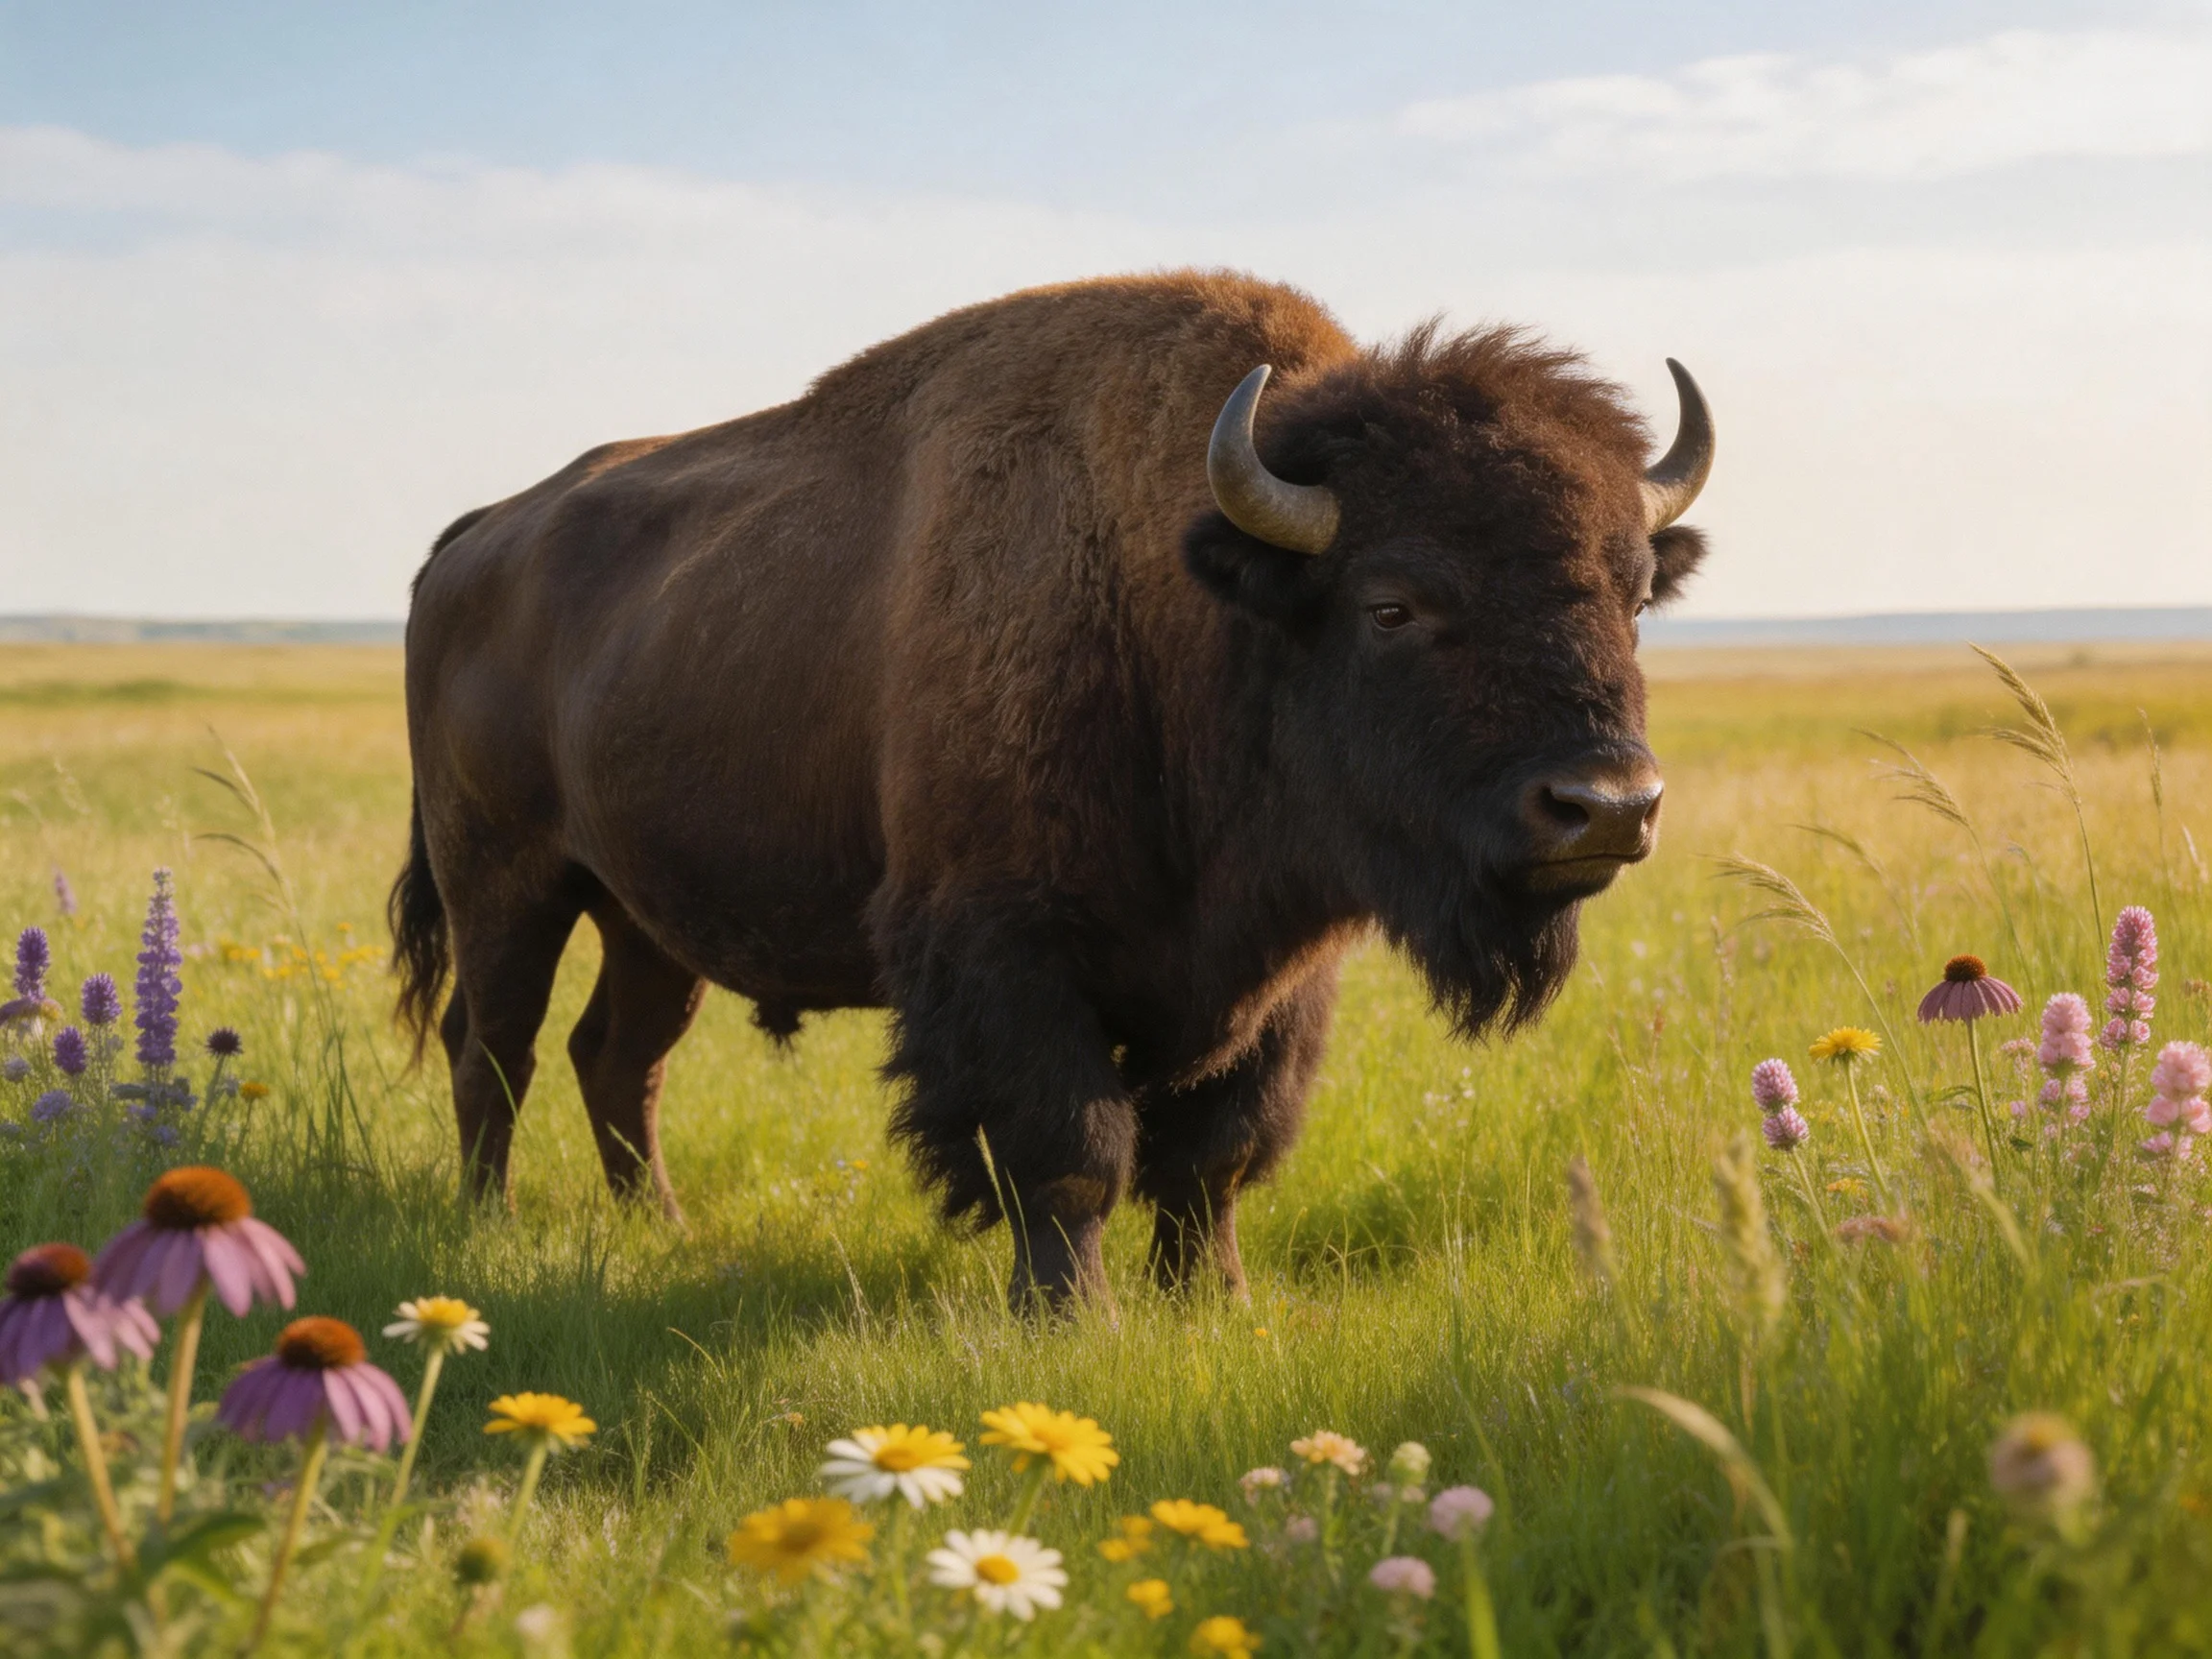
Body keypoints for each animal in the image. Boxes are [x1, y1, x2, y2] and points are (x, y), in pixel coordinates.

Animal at [390, 270, 1713, 1307]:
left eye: (1633, 590)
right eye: (1392, 605)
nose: (1606, 806)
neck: (1183, 596)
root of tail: (475, 538)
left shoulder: (1280, 979)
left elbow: (1213, 1154)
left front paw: (1214, 1306)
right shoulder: (1007, 952)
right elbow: (1071, 1149)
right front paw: (1071, 1321)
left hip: (648, 920)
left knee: (619, 1057)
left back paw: (658, 1231)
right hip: (507, 881)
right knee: (492, 1047)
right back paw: (487, 1231)